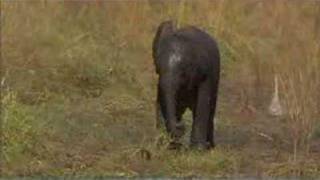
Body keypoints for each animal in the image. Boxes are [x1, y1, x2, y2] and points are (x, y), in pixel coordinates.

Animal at [152, 20, 220, 150]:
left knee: (210, 109)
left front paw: (198, 150)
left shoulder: (207, 73)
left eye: (183, 73)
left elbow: (203, 103)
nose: (181, 126)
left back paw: (210, 146)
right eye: (158, 69)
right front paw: (168, 148)